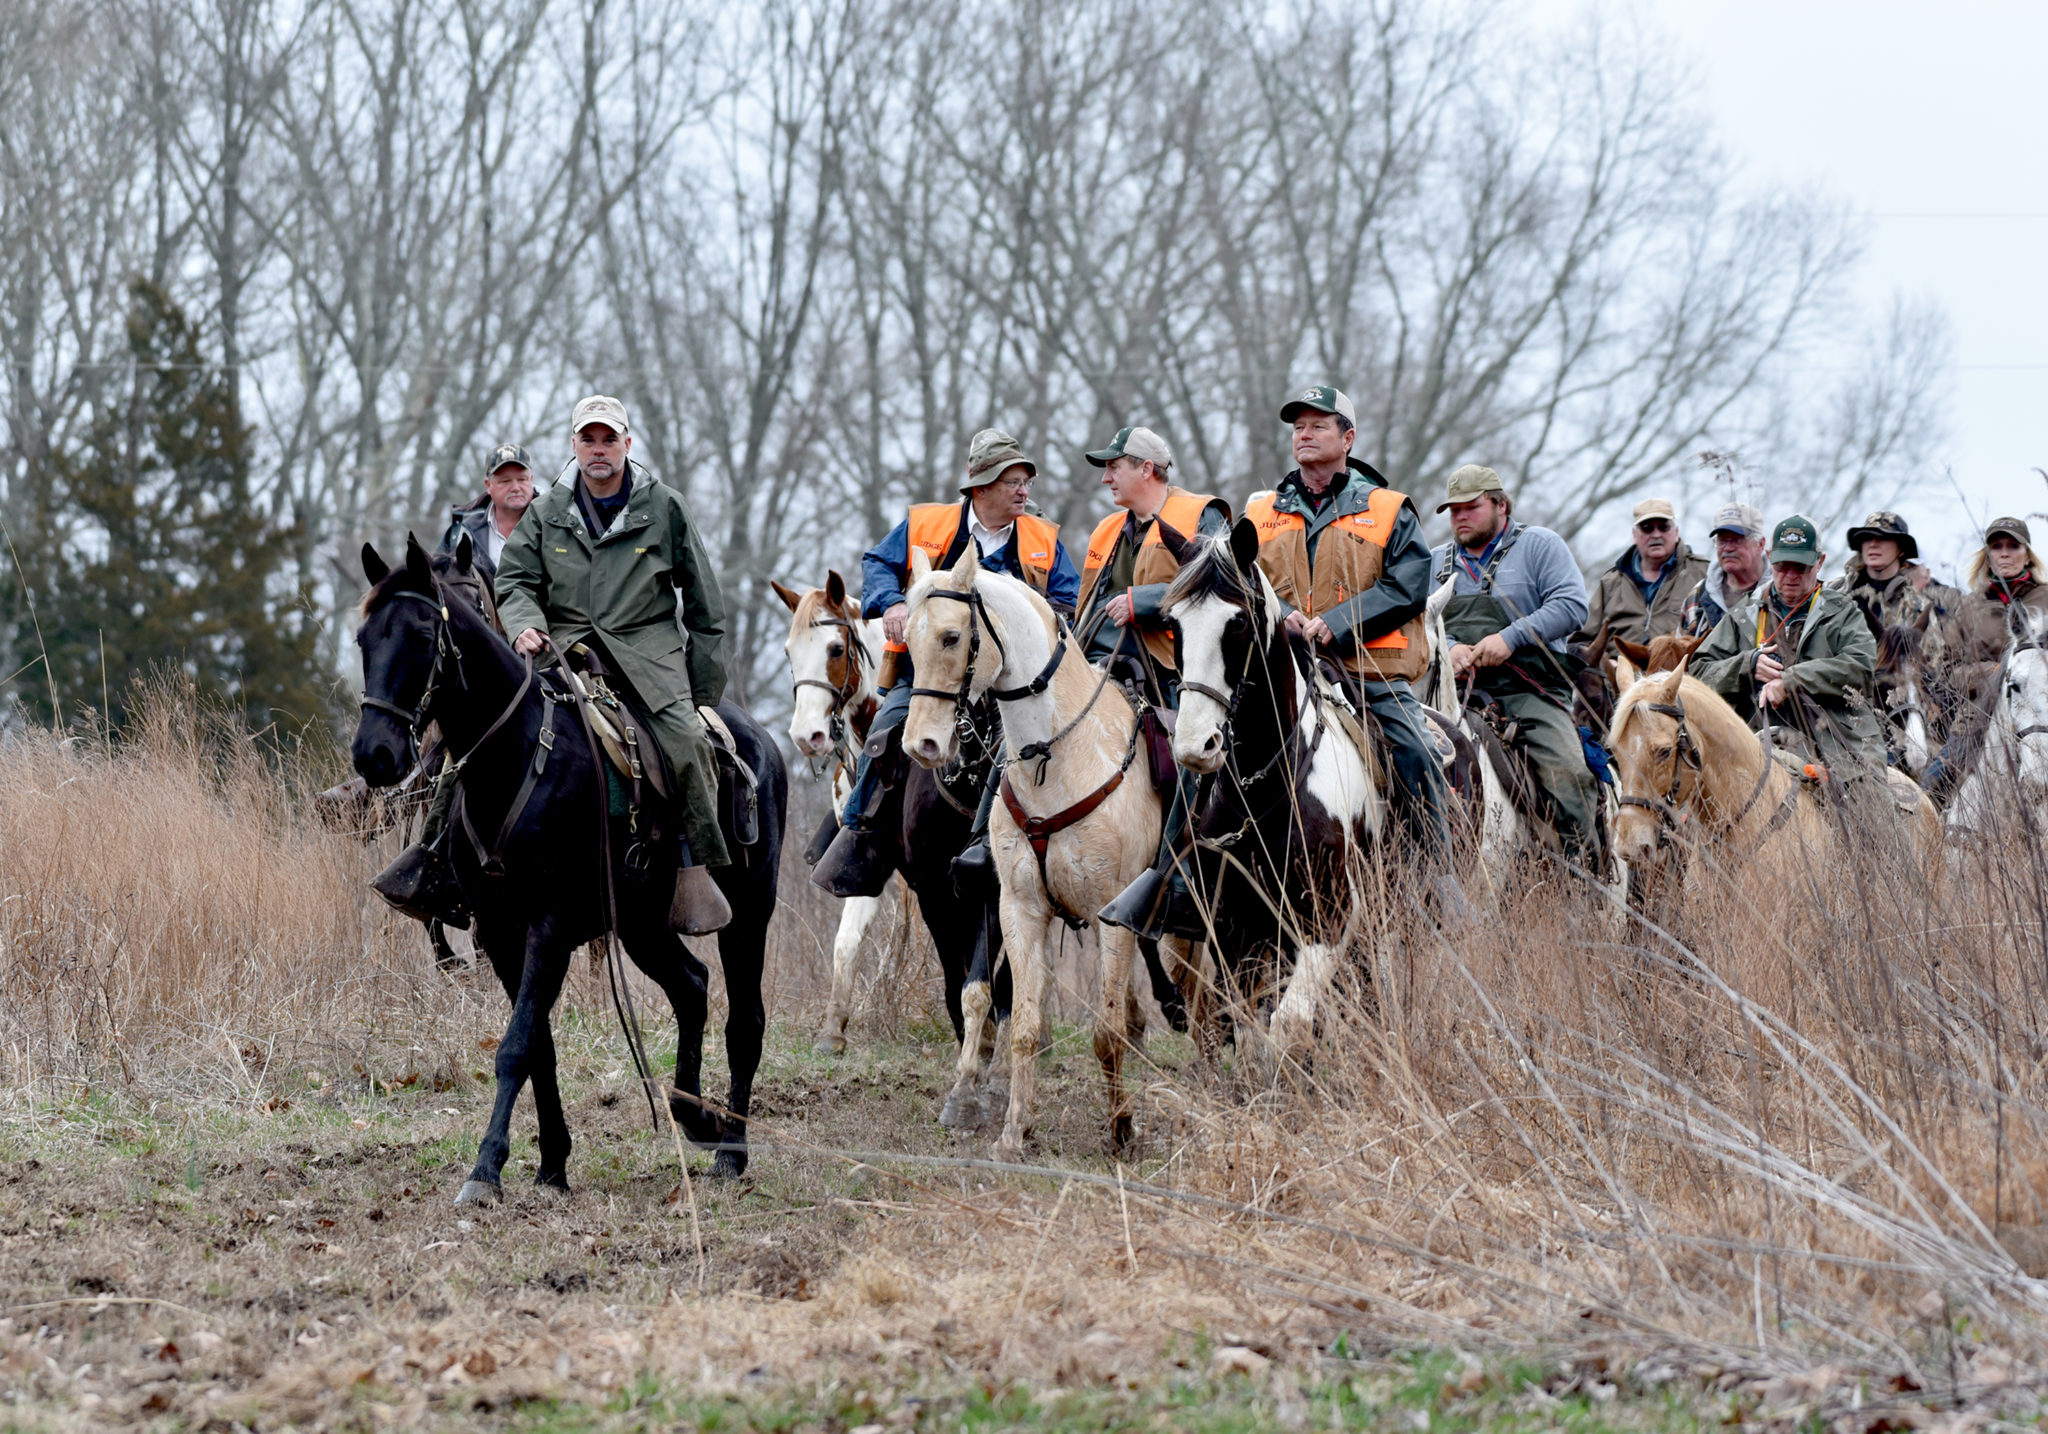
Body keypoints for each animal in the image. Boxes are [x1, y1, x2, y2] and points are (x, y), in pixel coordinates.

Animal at [352, 532, 782, 1196]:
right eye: (363, 640)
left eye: (424, 636)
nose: (374, 753)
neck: (517, 758)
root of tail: (761, 740)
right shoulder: (501, 933)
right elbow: (537, 1047)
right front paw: (551, 1162)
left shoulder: (548, 928)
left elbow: (516, 1046)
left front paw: (485, 1169)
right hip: (642, 925)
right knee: (691, 988)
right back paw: (693, 1116)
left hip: (748, 913)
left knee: (745, 1021)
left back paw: (731, 1148)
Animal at [892, 544, 1187, 1163]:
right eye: (907, 637)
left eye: (952, 637)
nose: (921, 744)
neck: (1058, 757)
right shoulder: (1018, 908)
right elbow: (1021, 1022)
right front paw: (1013, 1132)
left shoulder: (1111, 917)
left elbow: (1104, 1032)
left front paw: (1122, 1129)